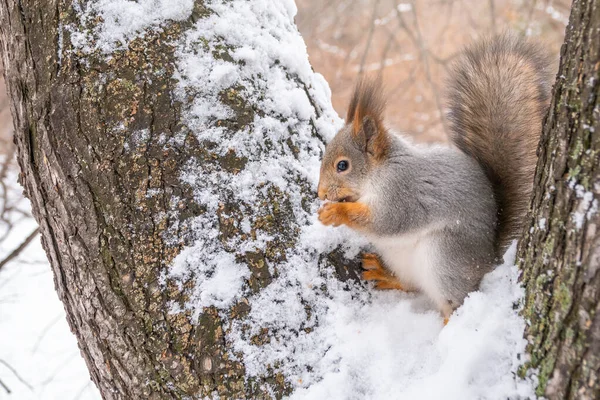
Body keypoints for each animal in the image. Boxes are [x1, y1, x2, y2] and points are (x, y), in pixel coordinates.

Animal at [316, 32, 552, 324]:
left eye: (342, 165)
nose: (320, 193)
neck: (380, 172)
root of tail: (488, 260)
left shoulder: (402, 192)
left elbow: (386, 222)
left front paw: (336, 212)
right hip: (405, 260)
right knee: (412, 284)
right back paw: (384, 273)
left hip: (444, 257)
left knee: (455, 300)